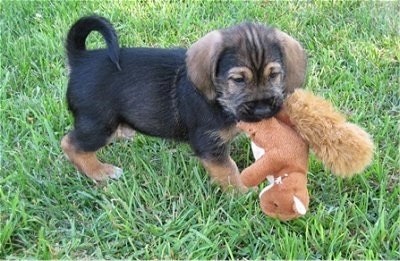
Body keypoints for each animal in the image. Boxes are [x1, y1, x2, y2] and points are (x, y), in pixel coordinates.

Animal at [61, 15, 306, 191]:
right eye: (238, 80)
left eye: (274, 75)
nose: (264, 110)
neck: (218, 98)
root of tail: (81, 59)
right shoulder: (209, 145)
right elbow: (228, 170)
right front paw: (242, 194)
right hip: (99, 123)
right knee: (71, 144)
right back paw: (100, 172)